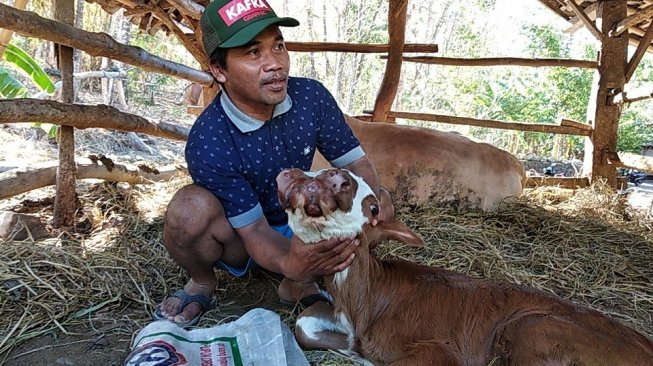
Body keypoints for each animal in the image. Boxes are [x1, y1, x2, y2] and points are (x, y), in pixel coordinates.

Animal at [278, 168, 652, 366]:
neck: (365, 304)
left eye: (372, 208)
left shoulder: (440, 353)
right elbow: (304, 325)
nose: (336, 177)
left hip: (532, 329)